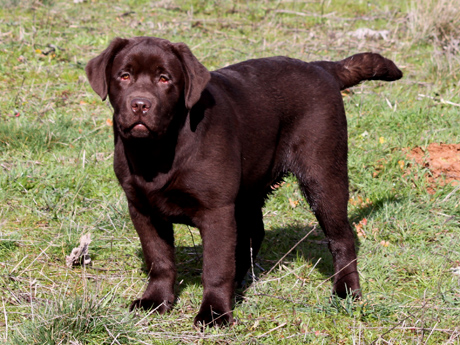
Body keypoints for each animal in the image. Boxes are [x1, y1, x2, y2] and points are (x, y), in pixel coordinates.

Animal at [84, 36, 400, 326]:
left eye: (165, 79)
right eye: (124, 76)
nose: (140, 104)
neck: (157, 152)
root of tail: (321, 67)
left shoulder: (216, 210)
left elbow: (215, 267)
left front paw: (214, 313)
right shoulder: (142, 209)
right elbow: (159, 260)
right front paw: (156, 301)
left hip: (322, 175)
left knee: (341, 237)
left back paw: (346, 291)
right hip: (251, 184)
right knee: (253, 231)